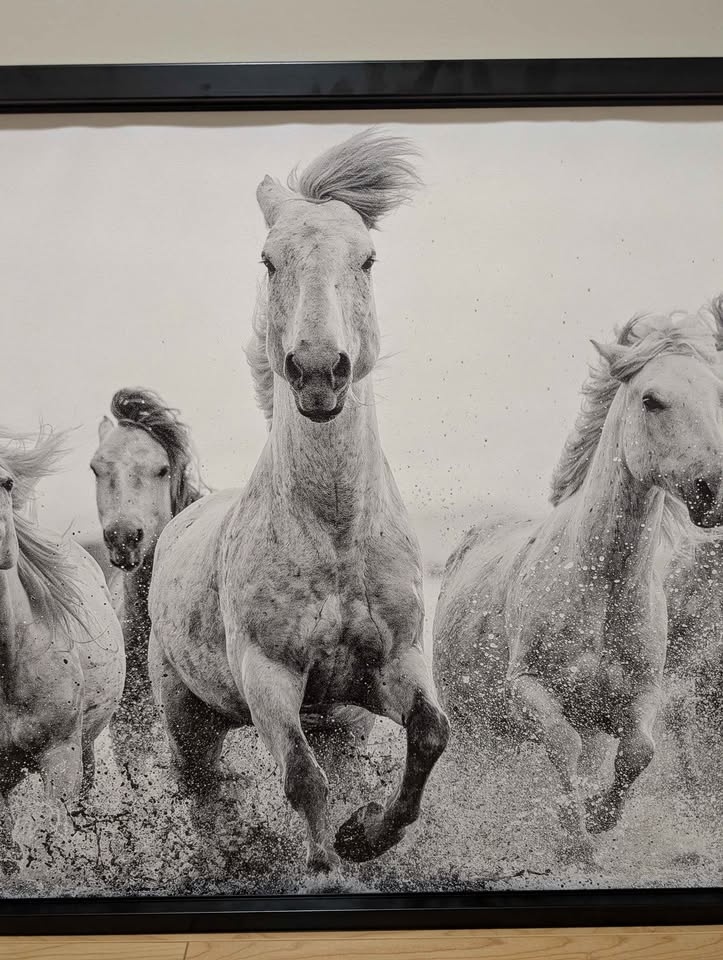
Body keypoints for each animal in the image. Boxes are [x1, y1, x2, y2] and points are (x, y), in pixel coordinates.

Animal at [148, 128, 450, 873]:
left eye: (366, 259)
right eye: (269, 259)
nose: (317, 371)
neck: (334, 534)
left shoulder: (390, 669)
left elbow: (430, 733)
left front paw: (364, 835)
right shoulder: (269, 677)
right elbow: (301, 778)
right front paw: (321, 864)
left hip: (341, 723)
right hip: (188, 718)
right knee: (203, 793)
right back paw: (228, 858)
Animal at [433, 312, 723, 860]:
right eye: (651, 399)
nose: (713, 489)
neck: (600, 582)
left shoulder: (637, 696)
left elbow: (639, 752)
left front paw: (599, 815)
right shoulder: (527, 688)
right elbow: (560, 742)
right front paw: (575, 841)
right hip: (472, 728)